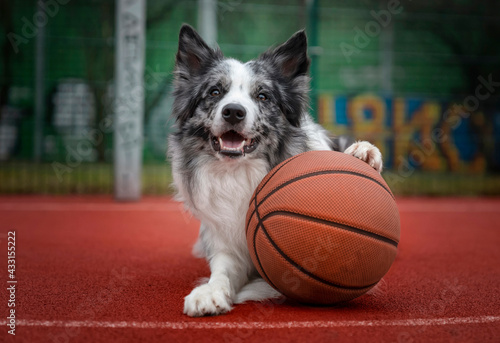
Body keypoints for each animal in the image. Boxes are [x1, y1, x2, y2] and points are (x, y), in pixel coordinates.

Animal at [168, 24, 382, 318]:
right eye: (214, 92)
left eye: (262, 96)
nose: (233, 112)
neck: (240, 172)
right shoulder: (227, 244)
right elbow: (222, 271)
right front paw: (209, 293)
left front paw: (363, 152)